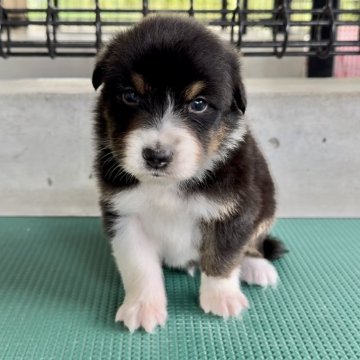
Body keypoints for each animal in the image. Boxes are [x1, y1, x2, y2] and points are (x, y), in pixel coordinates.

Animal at [92, 16, 286, 332]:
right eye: (130, 96)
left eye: (198, 104)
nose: (156, 157)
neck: (168, 186)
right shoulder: (123, 215)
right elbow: (139, 265)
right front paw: (142, 308)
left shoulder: (234, 210)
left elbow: (223, 256)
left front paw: (222, 299)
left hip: (267, 204)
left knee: (253, 243)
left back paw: (257, 267)